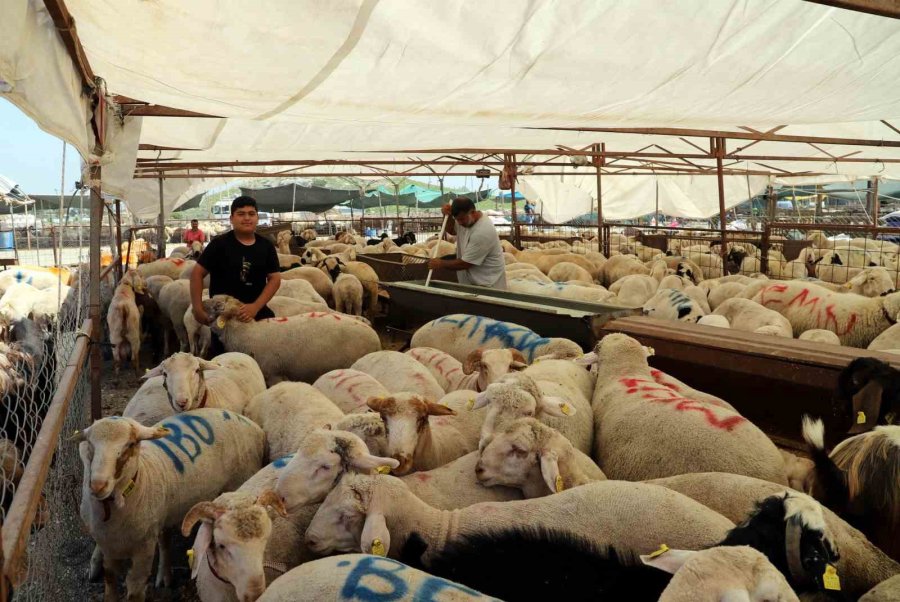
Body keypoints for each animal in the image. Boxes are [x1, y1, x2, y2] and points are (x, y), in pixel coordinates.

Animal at [77, 410, 266, 596]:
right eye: (90, 444)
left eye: (130, 444)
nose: (98, 485)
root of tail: (248, 422)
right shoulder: (108, 544)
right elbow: (110, 580)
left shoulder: (144, 548)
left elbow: (135, 589)